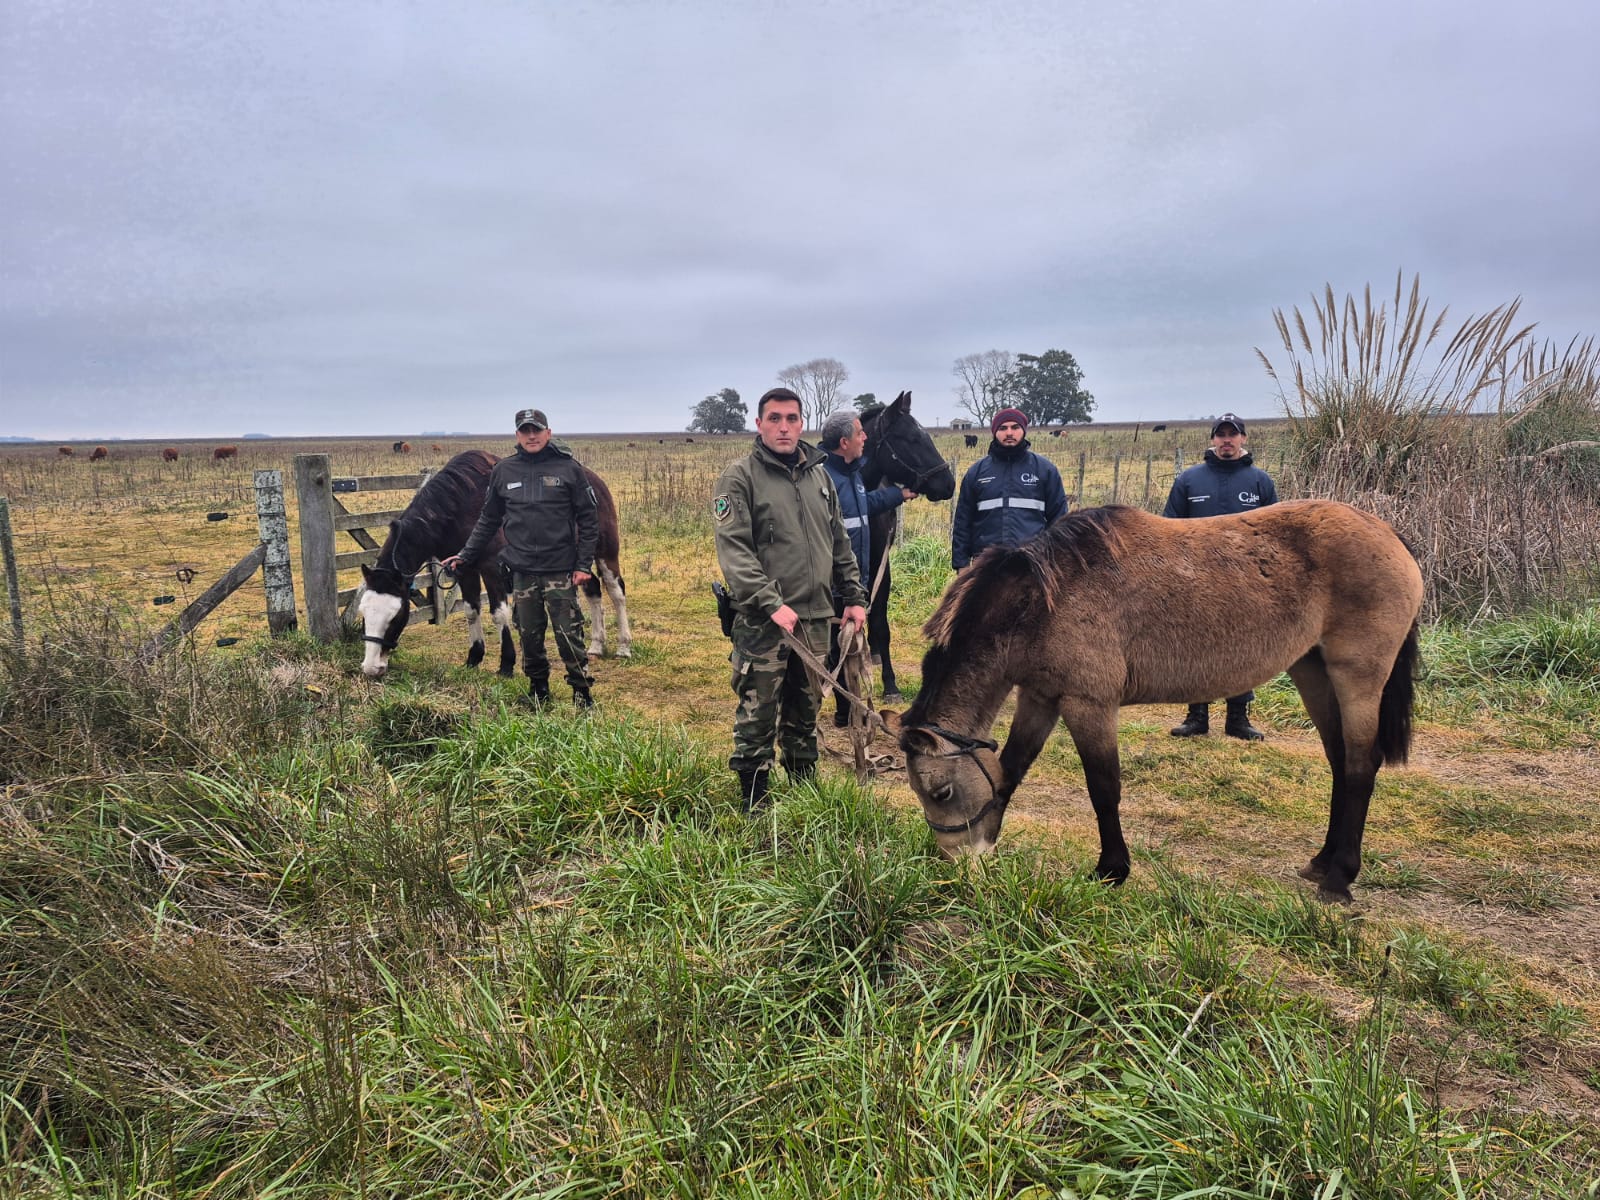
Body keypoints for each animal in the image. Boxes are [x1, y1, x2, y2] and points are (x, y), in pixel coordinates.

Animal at [895, 501, 1423, 904]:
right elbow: (1010, 770)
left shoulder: (1088, 704)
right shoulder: (1041, 698)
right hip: (1313, 671)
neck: (1042, 601)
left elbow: (1103, 789)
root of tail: (1389, 534)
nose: (957, 864)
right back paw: (1323, 861)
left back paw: (1340, 879)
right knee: (1340, 763)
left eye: (941, 792)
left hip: (1358, 678)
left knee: (1360, 767)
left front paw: (1112, 870)